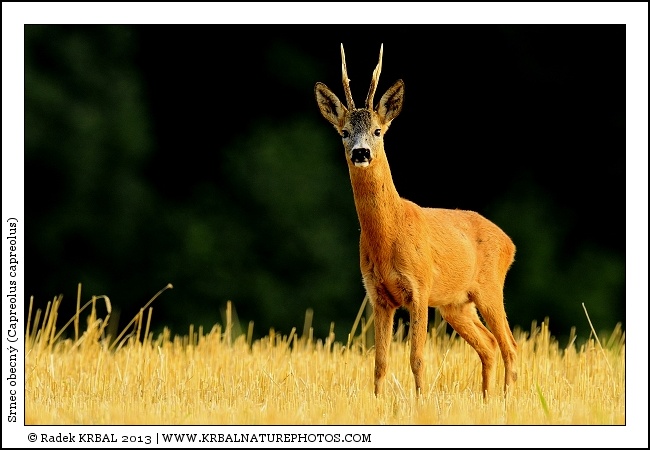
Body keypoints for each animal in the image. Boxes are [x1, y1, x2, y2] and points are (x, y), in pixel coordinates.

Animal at [314, 44, 518, 398]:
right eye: (344, 132)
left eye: (378, 130)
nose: (361, 152)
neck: (389, 234)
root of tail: (510, 243)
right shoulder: (378, 295)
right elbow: (380, 362)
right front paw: (378, 402)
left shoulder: (419, 288)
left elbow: (418, 358)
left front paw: (421, 401)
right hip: (456, 304)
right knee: (490, 344)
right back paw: (486, 399)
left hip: (490, 287)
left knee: (510, 345)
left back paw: (507, 400)